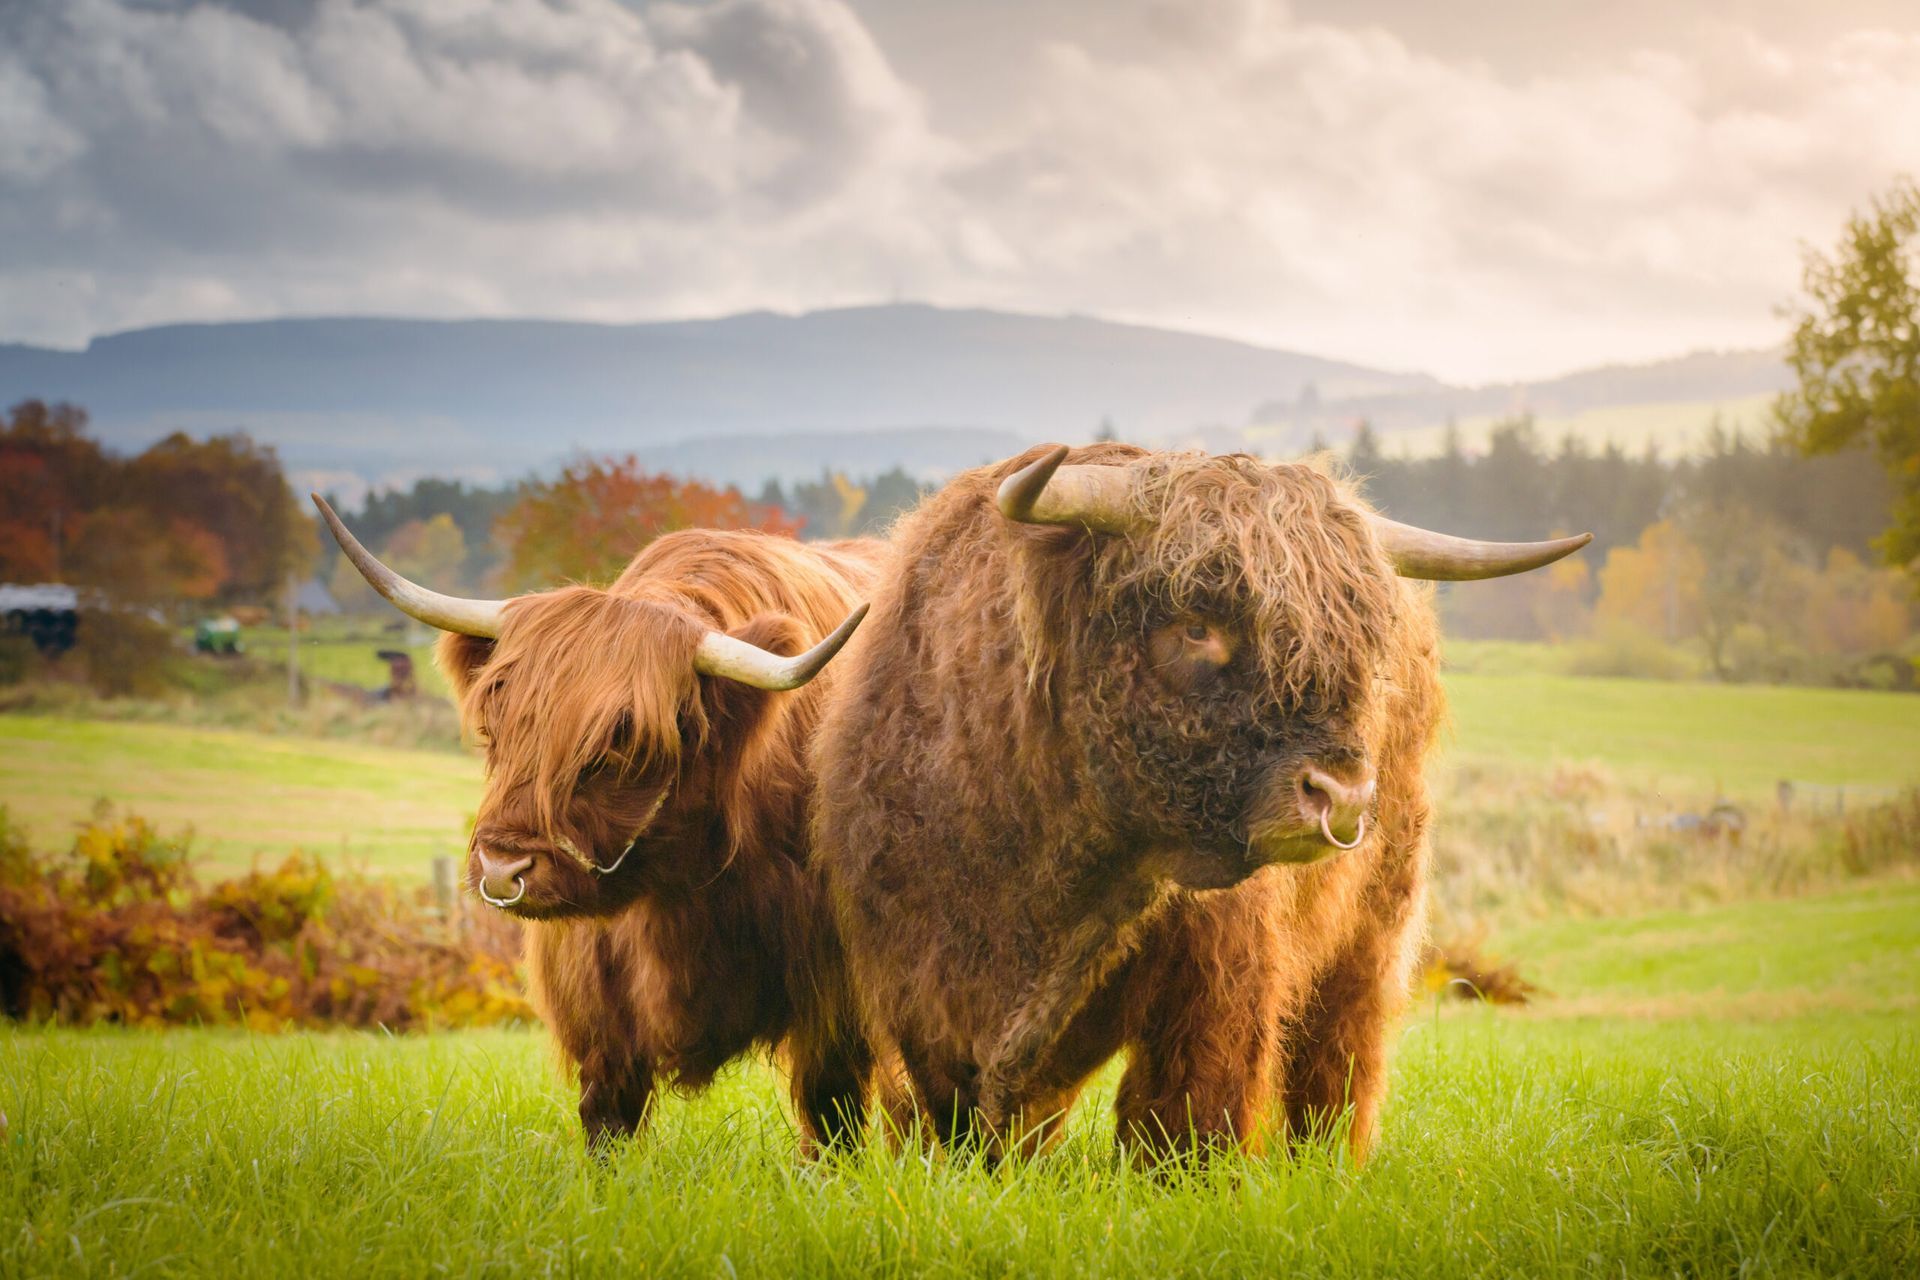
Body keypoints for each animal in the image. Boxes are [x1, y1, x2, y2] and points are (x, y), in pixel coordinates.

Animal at [315, 497, 881, 1153]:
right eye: (495, 719)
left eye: (623, 741)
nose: (503, 870)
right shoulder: (594, 997)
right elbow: (607, 1113)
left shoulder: (836, 997)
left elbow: (831, 1111)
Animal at [809, 443, 1590, 1161]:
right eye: (1195, 624)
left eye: (1357, 646)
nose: (1341, 796)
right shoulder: (918, 988)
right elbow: (949, 1115)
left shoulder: (1216, 980)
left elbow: (1186, 1113)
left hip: (1370, 932)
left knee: (1339, 1057)